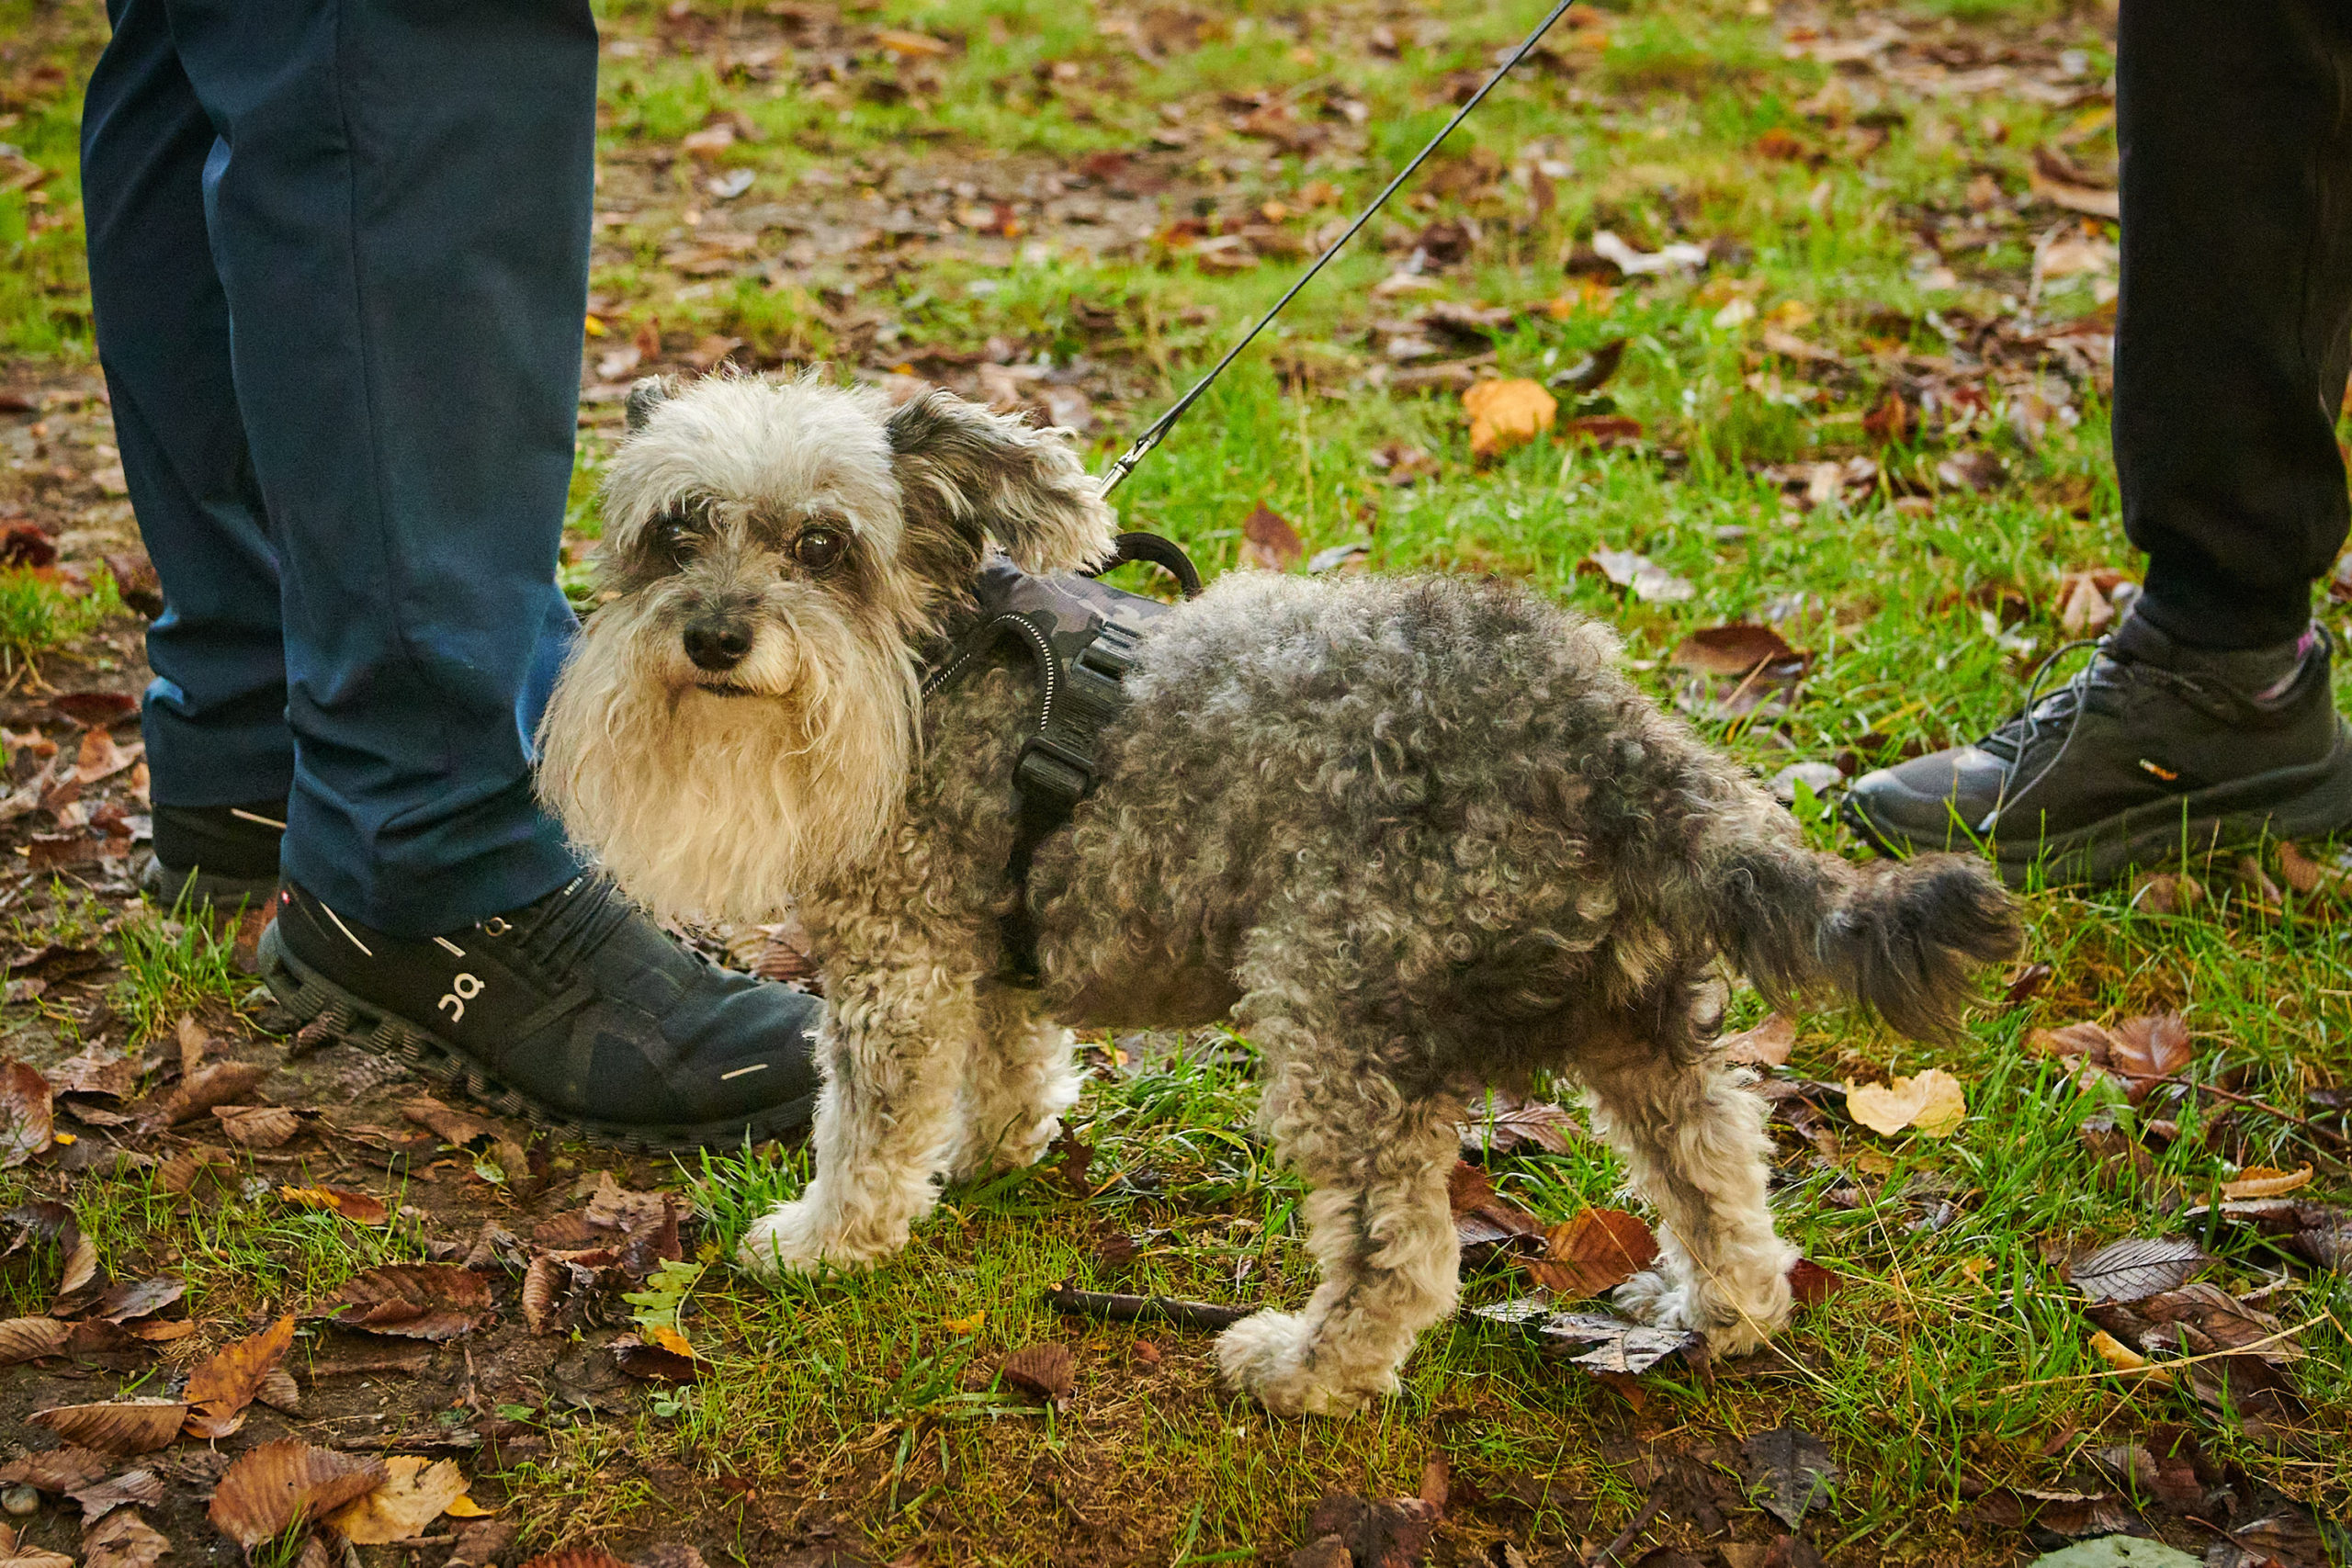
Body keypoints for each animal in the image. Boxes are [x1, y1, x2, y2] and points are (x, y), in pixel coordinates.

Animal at [538, 371, 2022, 1419]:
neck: (930, 655)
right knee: (1722, 1175)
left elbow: (867, 1122)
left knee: (1402, 1251)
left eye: (822, 543)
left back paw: (1309, 1371)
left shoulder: (895, 959)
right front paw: (994, 1148)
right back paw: (1727, 1314)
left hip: (1335, 1016)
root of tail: (1607, 733)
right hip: (1636, 1020)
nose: (714, 635)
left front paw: (826, 1238)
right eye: (677, 533)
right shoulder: (999, 938)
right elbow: (1010, 1058)